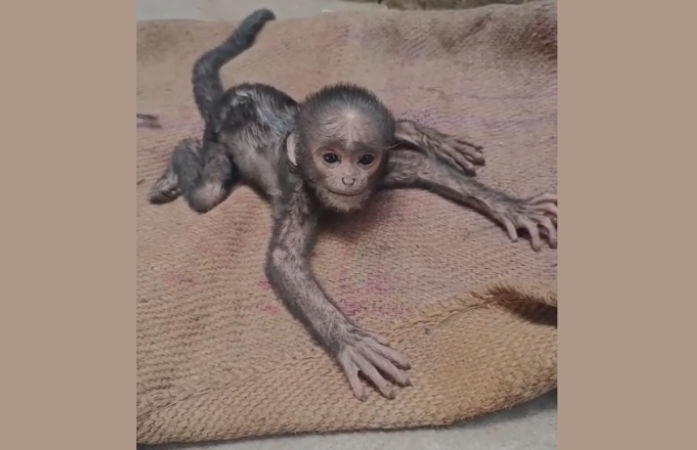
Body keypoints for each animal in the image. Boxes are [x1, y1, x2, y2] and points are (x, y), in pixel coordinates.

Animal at [147, 9, 557, 400]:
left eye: (364, 160)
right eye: (330, 158)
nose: (349, 180)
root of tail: (231, 95)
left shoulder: (383, 168)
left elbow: (423, 166)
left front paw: (513, 206)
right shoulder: (299, 190)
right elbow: (283, 259)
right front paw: (351, 342)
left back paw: (415, 131)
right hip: (217, 136)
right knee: (209, 188)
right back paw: (179, 159)